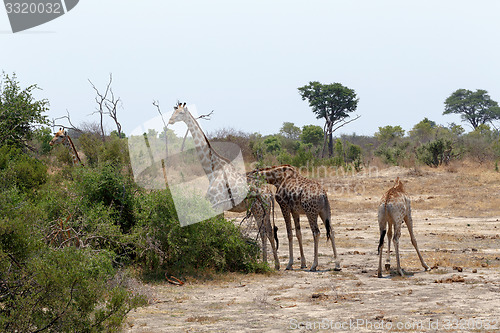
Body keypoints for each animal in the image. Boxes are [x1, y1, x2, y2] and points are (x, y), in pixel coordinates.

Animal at [167, 102, 278, 268]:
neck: (212, 170)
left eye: (180, 113)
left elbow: (218, 231)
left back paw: (267, 264)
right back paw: (271, 264)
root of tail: (269, 193)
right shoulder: (217, 207)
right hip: (262, 210)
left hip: (259, 209)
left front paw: (220, 262)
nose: (170, 121)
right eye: (174, 111)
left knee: (265, 232)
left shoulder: (217, 206)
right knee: (268, 232)